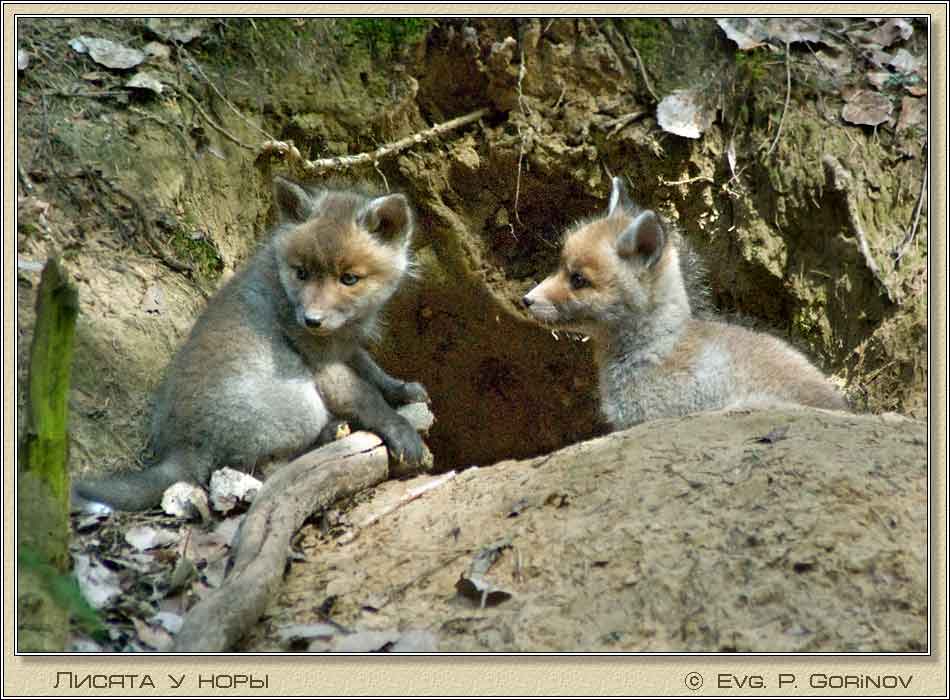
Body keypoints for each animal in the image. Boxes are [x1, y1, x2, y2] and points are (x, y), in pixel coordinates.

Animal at [73, 176, 429, 512]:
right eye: (301, 273)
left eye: (349, 279)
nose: (311, 321)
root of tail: (179, 449)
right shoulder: (320, 364)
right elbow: (367, 397)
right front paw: (400, 431)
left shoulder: (345, 347)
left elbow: (374, 373)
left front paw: (403, 390)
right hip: (301, 402)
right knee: (266, 469)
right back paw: (328, 437)